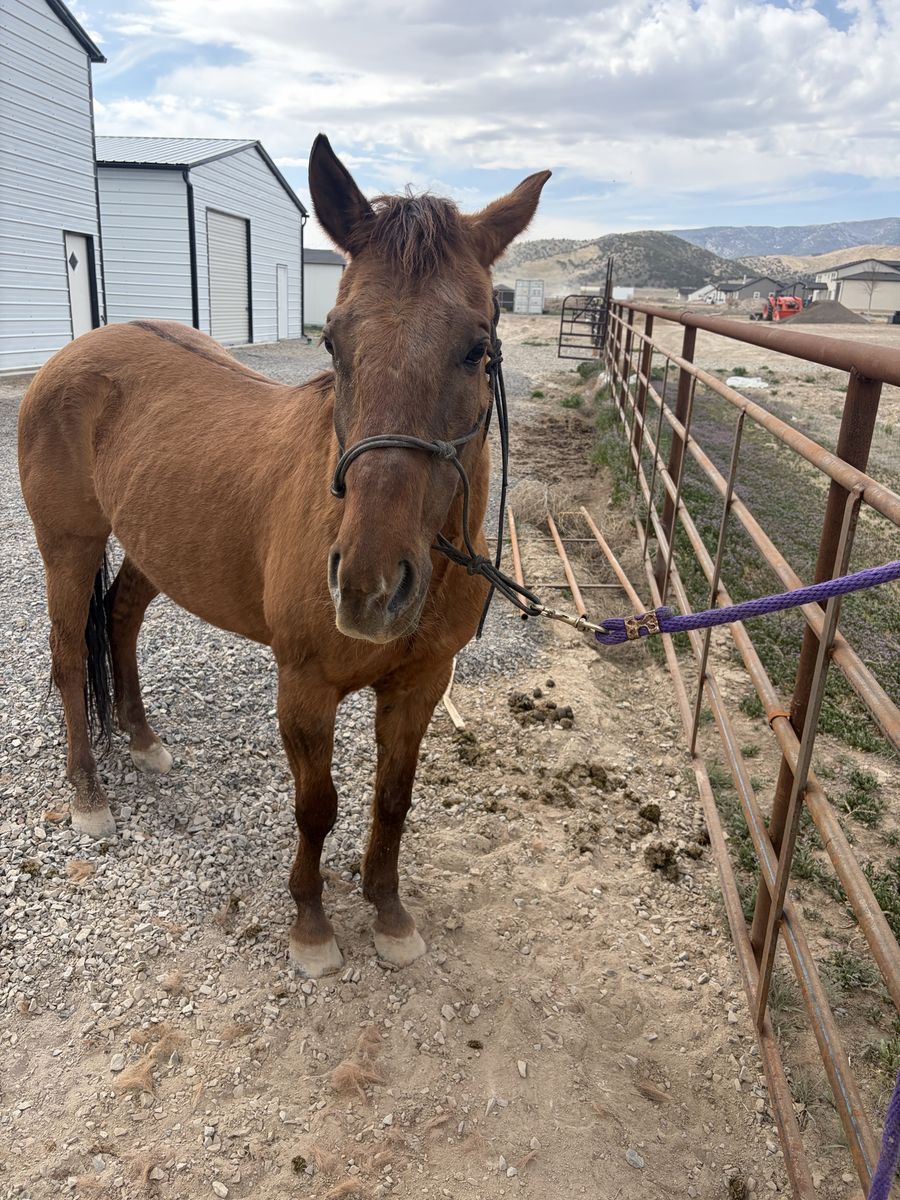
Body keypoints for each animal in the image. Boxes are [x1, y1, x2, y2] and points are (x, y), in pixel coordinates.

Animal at [17, 134, 550, 976]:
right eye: (333, 338)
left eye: (477, 349)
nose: (369, 587)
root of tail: (76, 351)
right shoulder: (304, 688)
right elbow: (316, 805)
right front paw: (312, 925)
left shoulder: (423, 684)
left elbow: (392, 799)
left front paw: (388, 911)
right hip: (67, 546)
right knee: (71, 655)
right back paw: (89, 796)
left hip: (152, 548)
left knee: (123, 619)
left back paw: (143, 741)